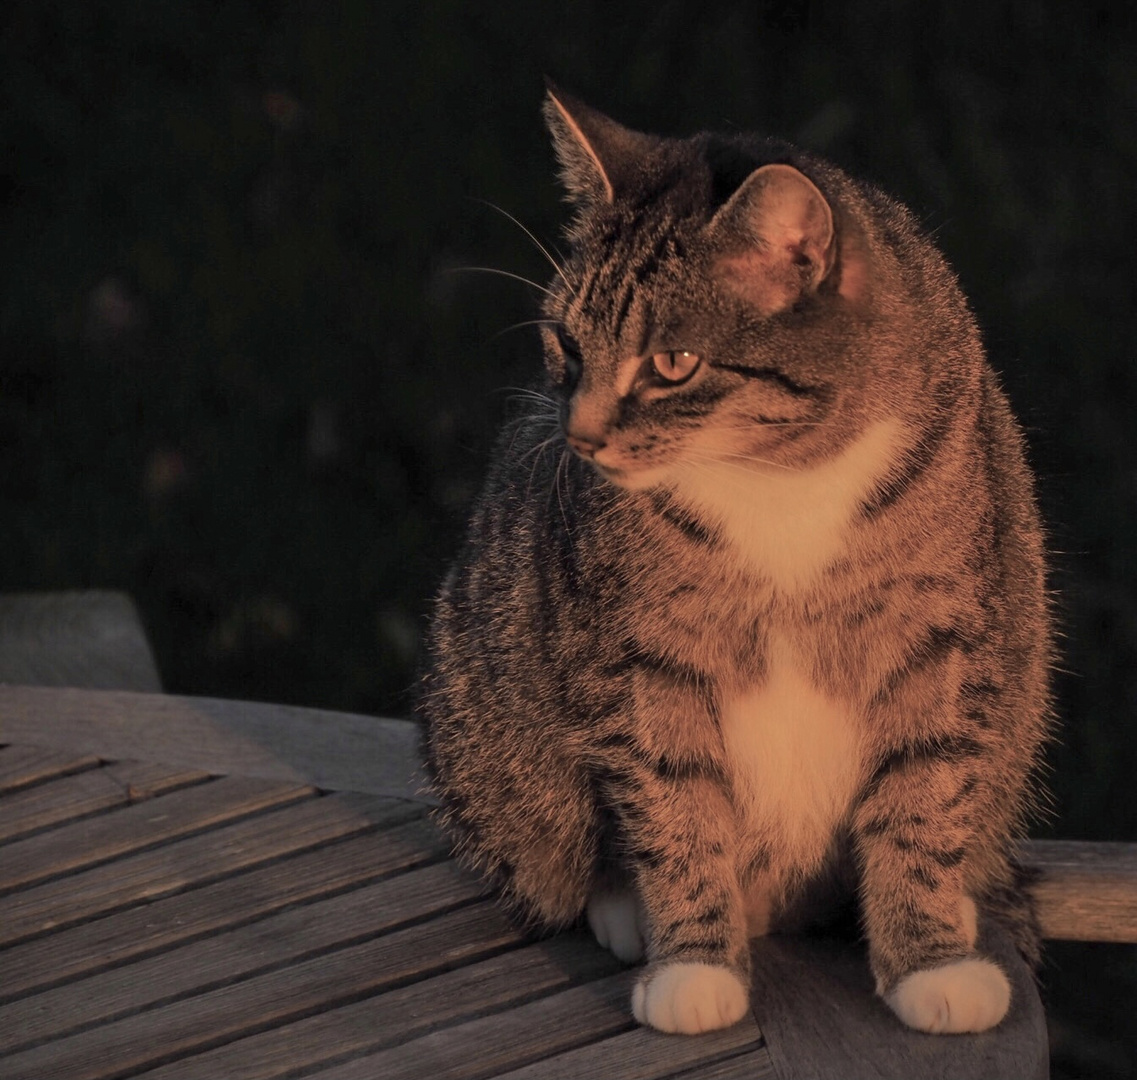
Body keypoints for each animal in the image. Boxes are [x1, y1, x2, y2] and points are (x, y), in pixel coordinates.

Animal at [418, 86, 1046, 1041]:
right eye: (565, 342)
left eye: (672, 363)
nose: (579, 438)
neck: (777, 477)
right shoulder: (641, 654)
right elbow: (675, 806)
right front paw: (693, 967)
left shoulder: (942, 636)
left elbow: (926, 791)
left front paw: (931, 961)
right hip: (487, 725)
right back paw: (624, 907)